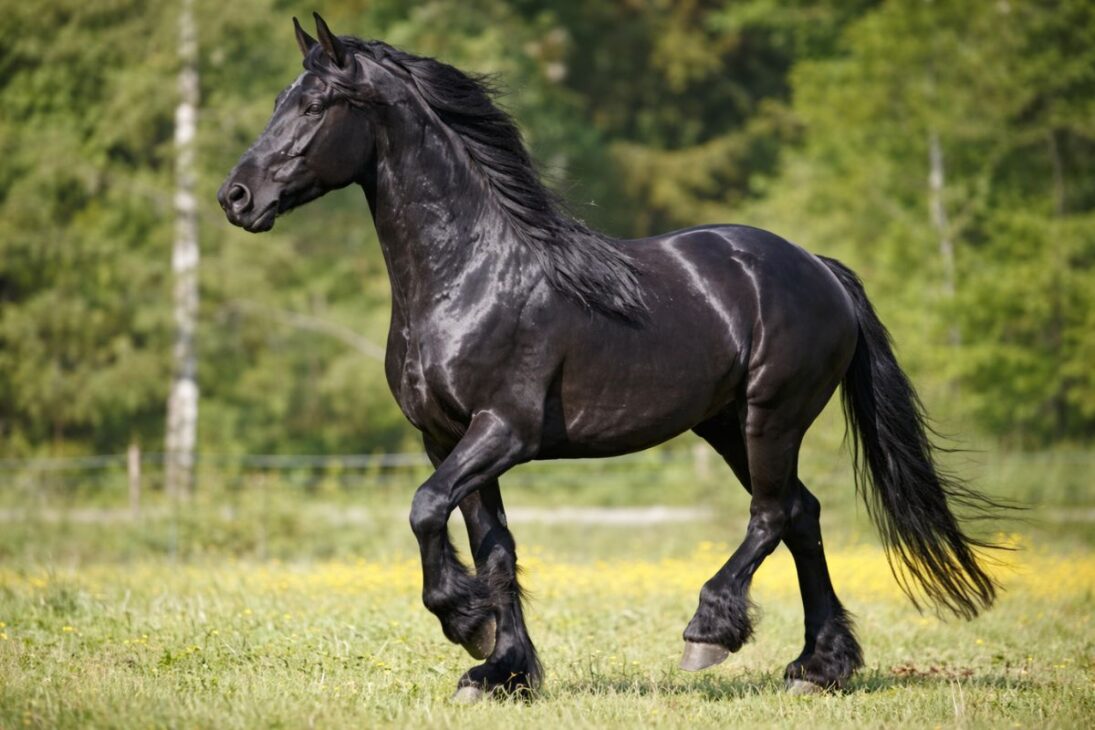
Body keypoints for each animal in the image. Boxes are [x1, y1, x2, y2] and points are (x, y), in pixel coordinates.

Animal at [219, 13, 1001, 702]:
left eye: (315, 104)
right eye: (281, 101)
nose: (236, 197)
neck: (470, 273)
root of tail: (819, 268)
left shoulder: (503, 430)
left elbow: (424, 509)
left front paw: (467, 626)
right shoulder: (445, 436)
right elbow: (493, 546)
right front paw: (502, 672)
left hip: (770, 416)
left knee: (772, 514)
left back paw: (710, 632)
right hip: (724, 424)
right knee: (801, 514)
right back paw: (819, 666)